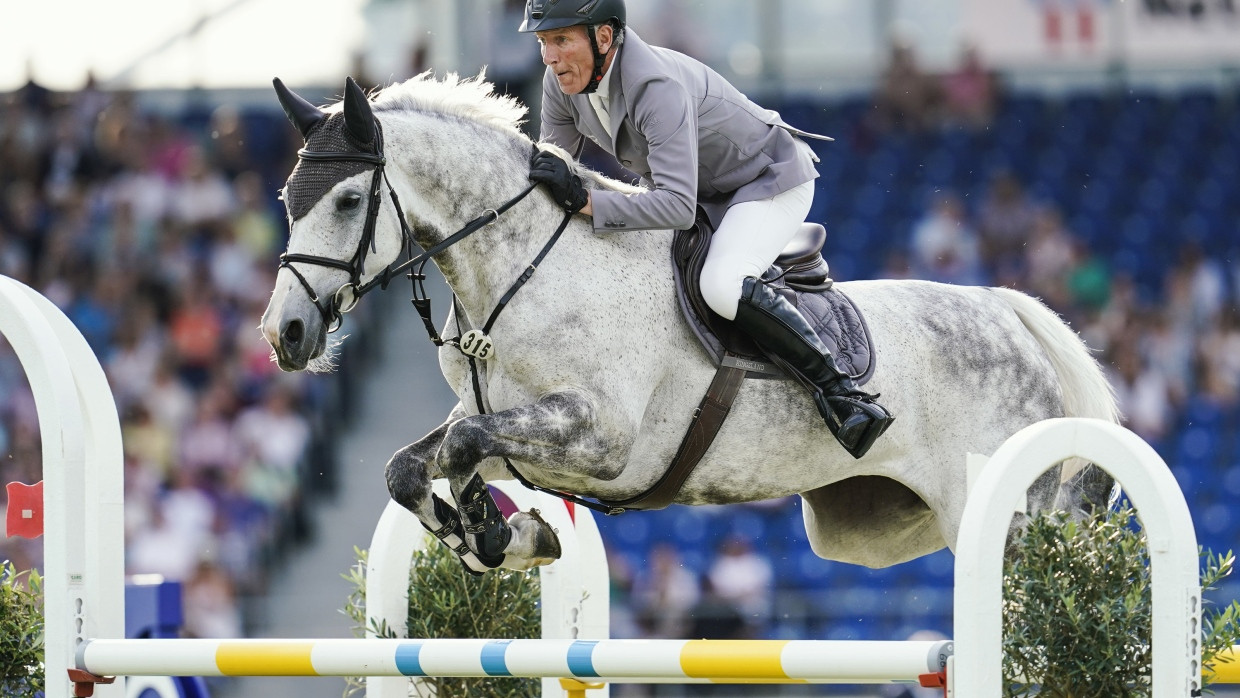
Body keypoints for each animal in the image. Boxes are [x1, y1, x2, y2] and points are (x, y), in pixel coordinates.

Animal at [256, 73, 1120, 575]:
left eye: (348, 201)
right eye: (288, 199)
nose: (283, 334)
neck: (525, 269)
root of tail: (1007, 314)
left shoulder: (602, 439)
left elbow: (463, 449)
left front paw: (499, 536)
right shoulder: (514, 425)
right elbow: (415, 467)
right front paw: (501, 536)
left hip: (1002, 509)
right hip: (873, 528)